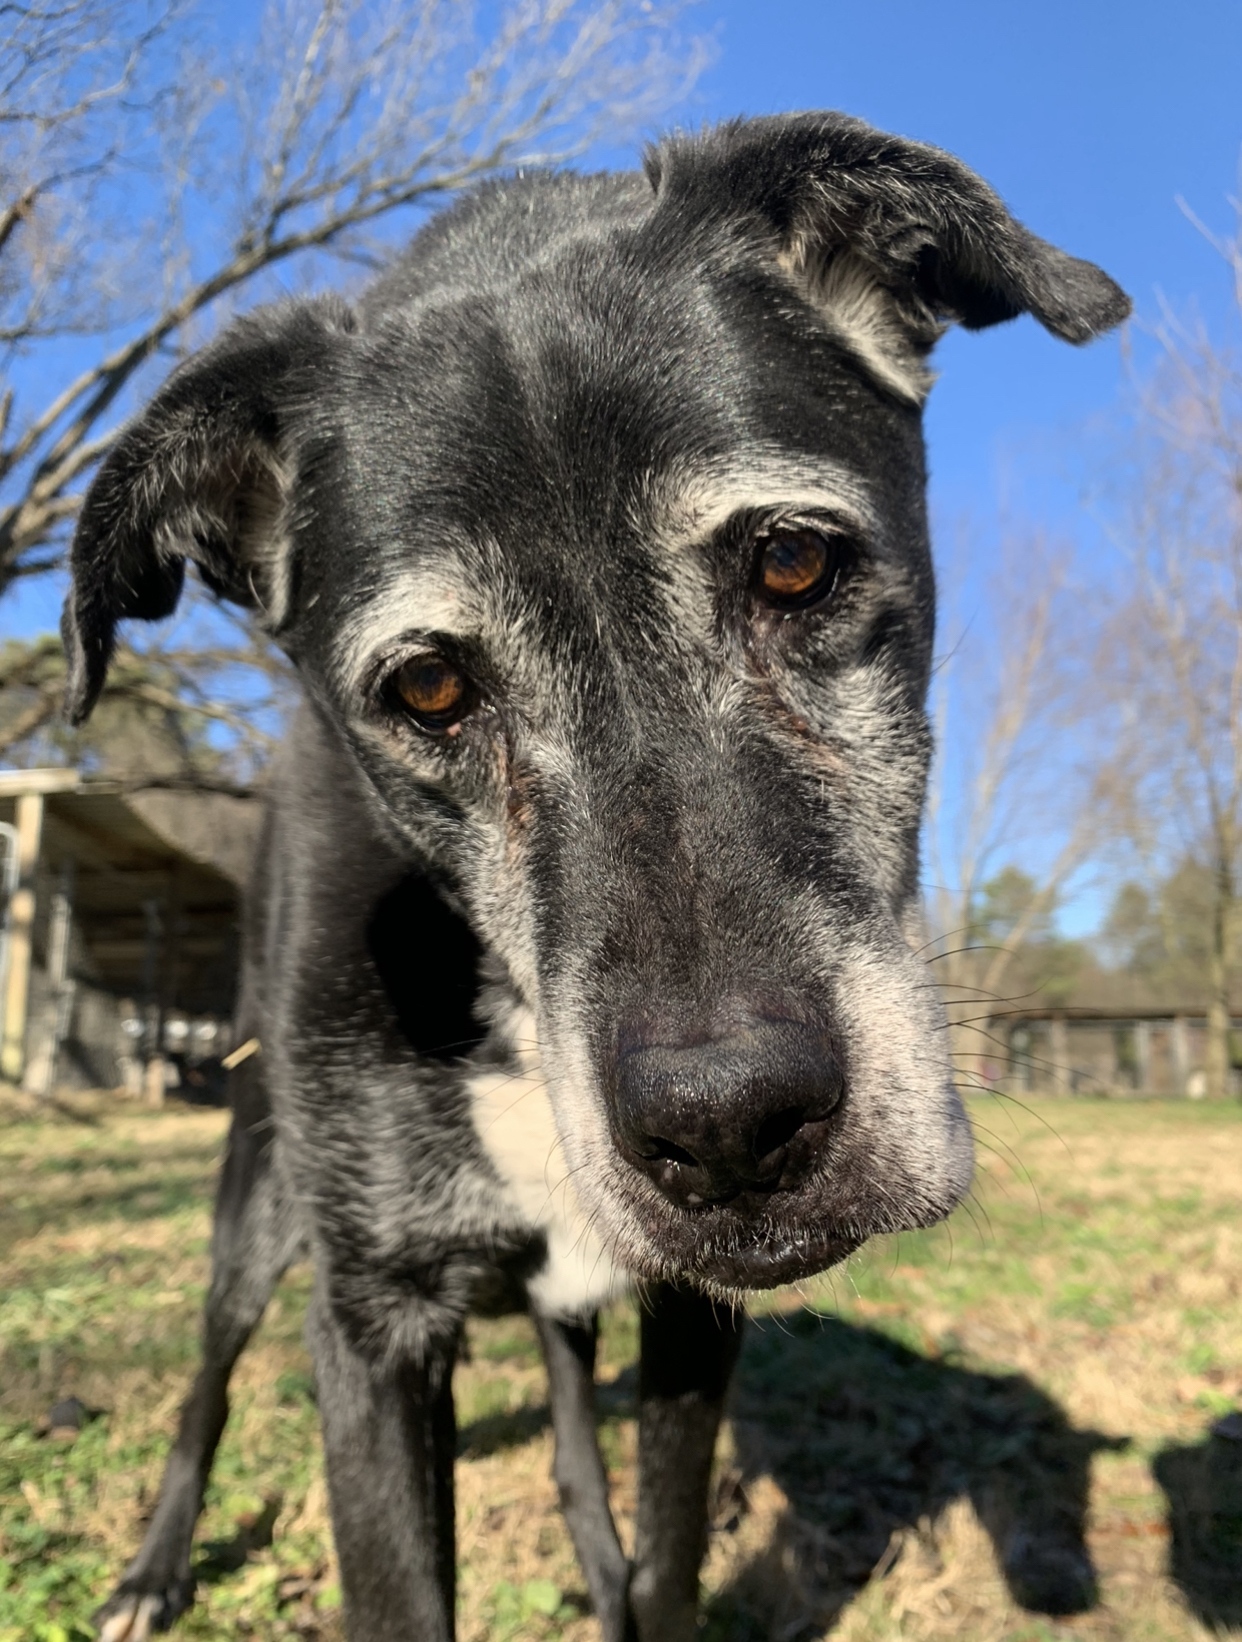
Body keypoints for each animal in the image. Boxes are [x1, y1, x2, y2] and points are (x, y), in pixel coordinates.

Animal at [65, 109, 1136, 1635]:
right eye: (429, 686)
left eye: (792, 561)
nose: (733, 1125)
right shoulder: (373, 1320)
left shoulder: (691, 1316)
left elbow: (669, 1551)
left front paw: (630, 1568)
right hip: (255, 1199)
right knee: (210, 1372)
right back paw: (156, 1567)